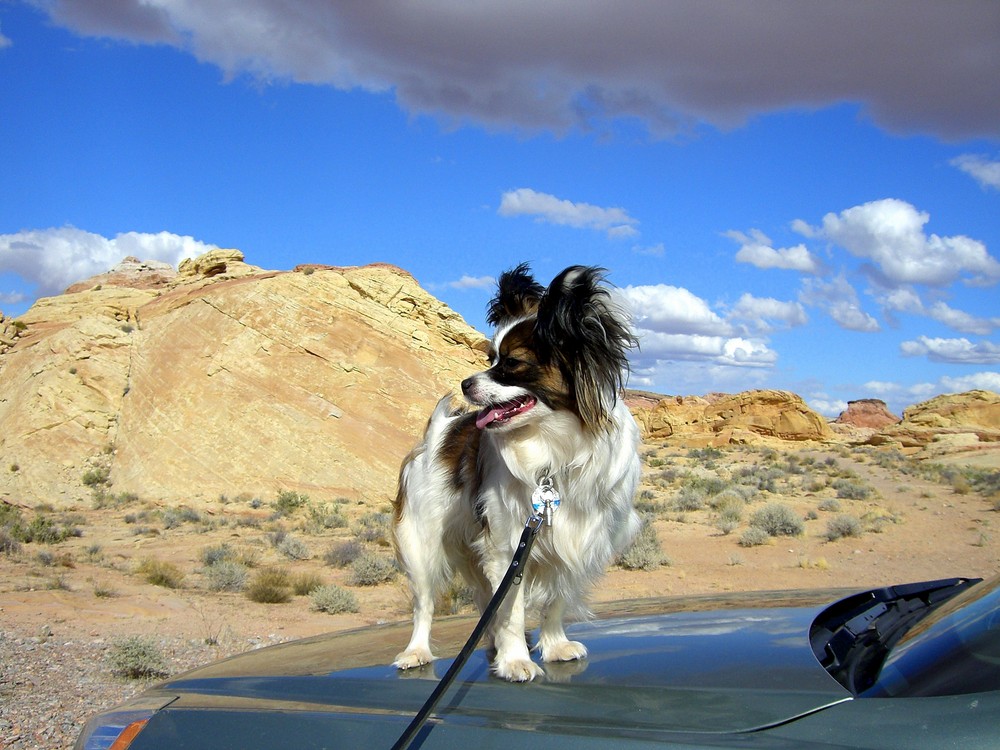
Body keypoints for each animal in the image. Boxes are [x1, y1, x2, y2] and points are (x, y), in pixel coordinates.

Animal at [390, 268, 640, 684]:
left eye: (511, 363)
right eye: (489, 358)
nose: (465, 383)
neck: (553, 445)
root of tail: (439, 431)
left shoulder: (578, 539)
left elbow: (556, 600)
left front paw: (554, 647)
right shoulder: (507, 546)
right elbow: (512, 610)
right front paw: (515, 661)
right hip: (421, 542)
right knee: (424, 605)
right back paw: (416, 652)